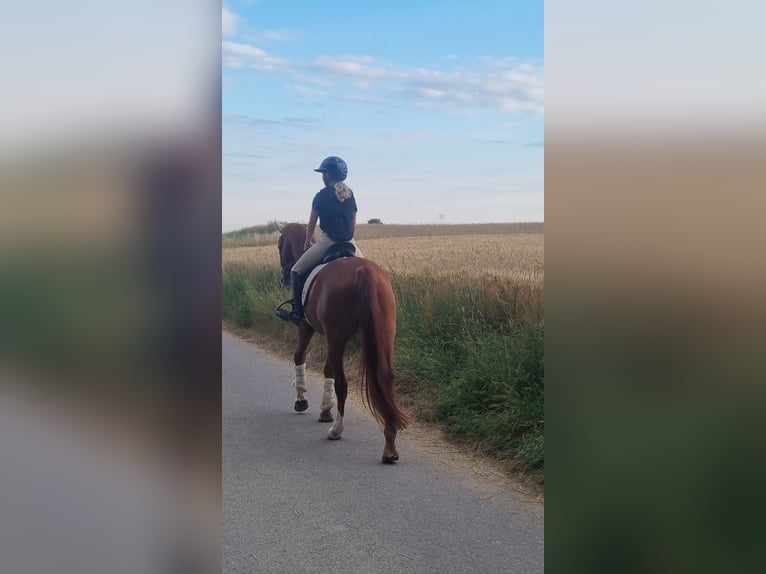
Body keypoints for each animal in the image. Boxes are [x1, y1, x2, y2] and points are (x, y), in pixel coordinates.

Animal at [276, 222, 409, 463]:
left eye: (280, 243)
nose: (284, 277)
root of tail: (363, 272)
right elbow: (327, 369)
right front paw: (325, 409)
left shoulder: (305, 326)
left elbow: (300, 357)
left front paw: (302, 401)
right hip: (384, 336)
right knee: (385, 379)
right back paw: (390, 446)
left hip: (336, 337)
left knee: (342, 383)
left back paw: (336, 430)